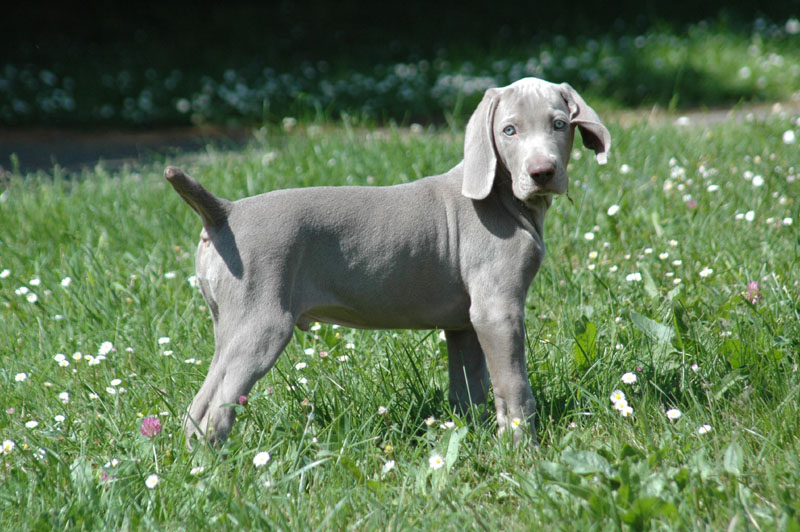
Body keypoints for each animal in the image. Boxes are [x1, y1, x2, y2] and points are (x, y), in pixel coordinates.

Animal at [166, 77, 608, 446]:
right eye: (509, 131)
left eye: (559, 124)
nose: (542, 172)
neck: (501, 196)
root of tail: (224, 212)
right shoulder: (496, 311)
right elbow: (514, 387)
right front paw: (522, 451)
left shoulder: (464, 324)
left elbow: (469, 389)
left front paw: (472, 438)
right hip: (262, 322)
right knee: (216, 410)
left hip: (230, 324)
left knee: (198, 406)